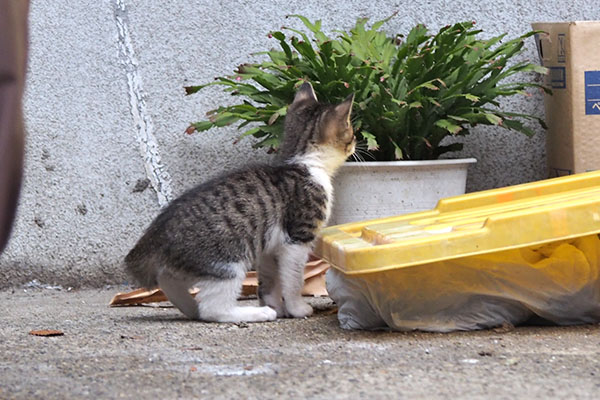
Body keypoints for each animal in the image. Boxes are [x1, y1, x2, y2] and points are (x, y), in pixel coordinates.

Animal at [123, 83, 354, 324]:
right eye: (351, 131)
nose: (356, 143)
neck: (304, 162)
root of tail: (154, 238)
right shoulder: (297, 239)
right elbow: (293, 279)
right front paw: (297, 308)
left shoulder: (269, 247)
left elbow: (269, 280)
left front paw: (275, 304)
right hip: (227, 261)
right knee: (213, 309)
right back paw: (257, 313)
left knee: (169, 280)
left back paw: (191, 308)